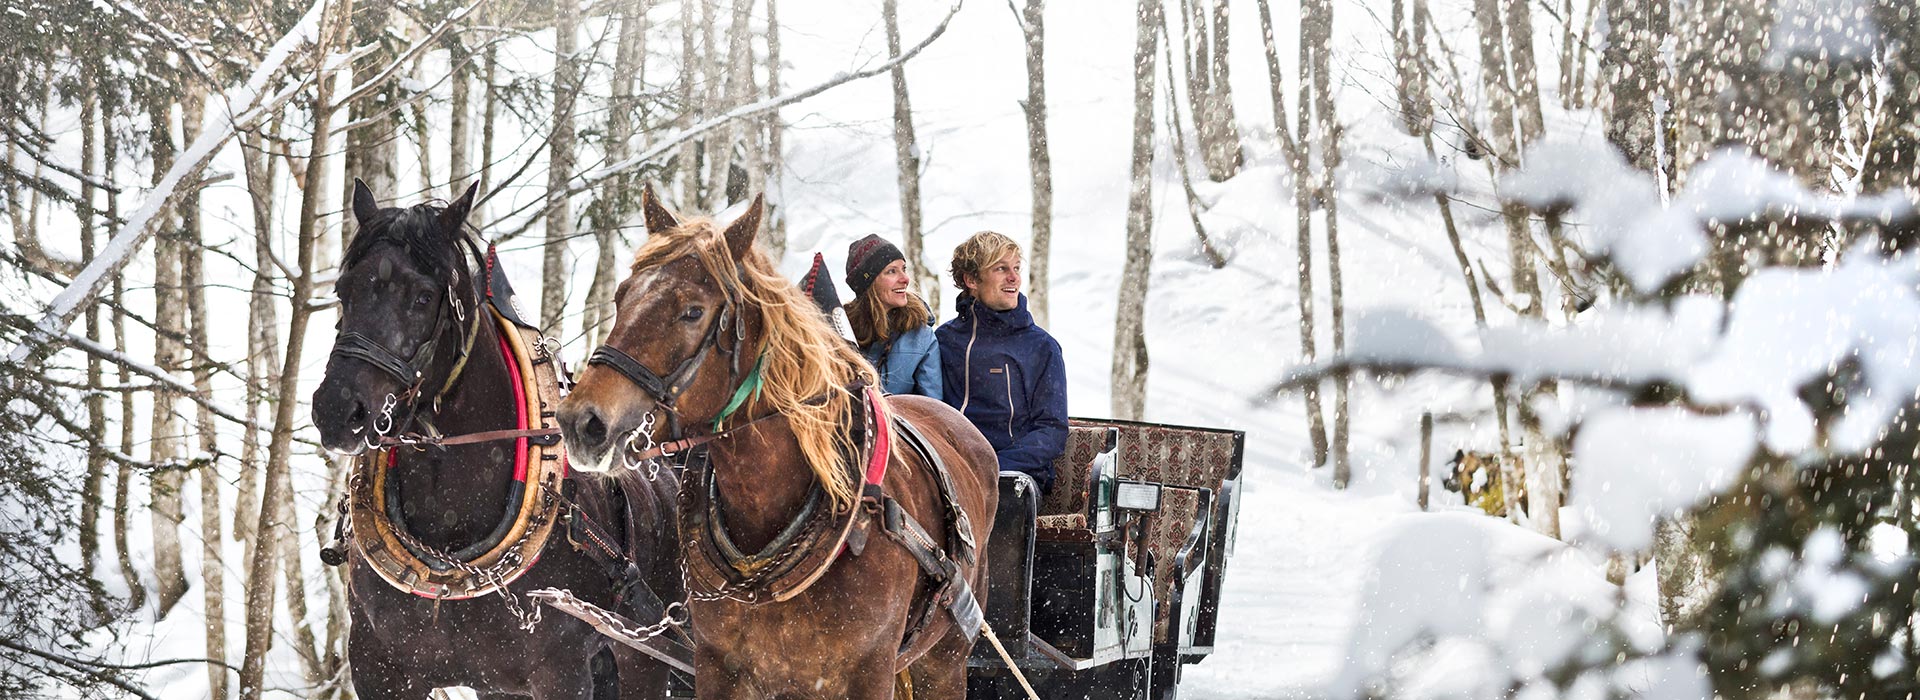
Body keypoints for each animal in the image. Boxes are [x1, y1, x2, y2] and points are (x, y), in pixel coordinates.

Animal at [311, 181, 679, 698]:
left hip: (643, 660)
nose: (337, 411)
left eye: (424, 296)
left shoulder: (563, 674)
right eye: (344, 290)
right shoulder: (378, 668)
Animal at [556, 187, 998, 694]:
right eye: (621, 297)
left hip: (945, 659)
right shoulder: (721, 667)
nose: (580, 420)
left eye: (692, 311)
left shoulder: (871, 670)